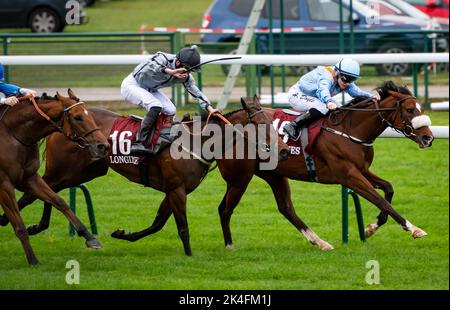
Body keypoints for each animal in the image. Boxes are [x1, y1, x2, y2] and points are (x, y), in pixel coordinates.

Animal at [0, 89, 109, 264]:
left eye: (89, 114)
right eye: (77, 117)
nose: (103, 146)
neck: (13, 134)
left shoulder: (30, 178)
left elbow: (60, 202)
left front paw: (90, 238)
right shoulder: (4, 185)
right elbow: (19, 226)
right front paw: (33, 260)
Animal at [2, 97, 288, 256]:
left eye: (271, 121)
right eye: (261, 124)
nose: (284, 150)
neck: (197, 140)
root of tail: (59, 125)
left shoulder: (174, 190)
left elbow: (157, 223)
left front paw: (123, 234)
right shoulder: (176, 189)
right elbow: (181, 227)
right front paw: (189, 256)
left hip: (88, 170)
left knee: (49, 193)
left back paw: (31, 224)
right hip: (65, 169)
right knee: (42, 190)